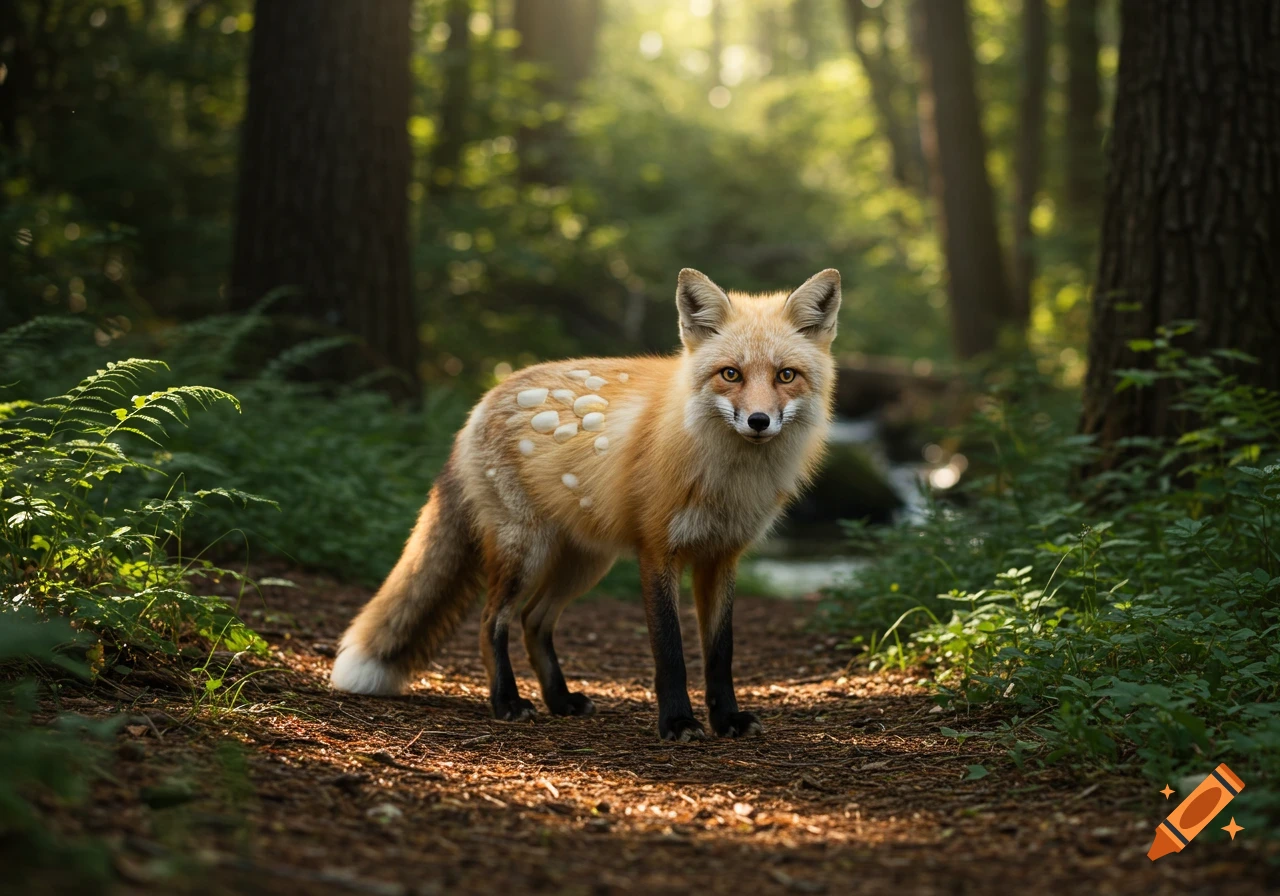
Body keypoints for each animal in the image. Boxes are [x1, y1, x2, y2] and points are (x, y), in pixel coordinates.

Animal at [330, 267, 841, 741]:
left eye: (786, 375)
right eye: (730, 374)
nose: (758, 421)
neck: (728, 478)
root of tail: (483, 401)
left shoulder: (721, 556)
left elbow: (720, 652)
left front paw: (726, 719)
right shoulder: (658, 552)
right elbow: (670, 652)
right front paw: (677, 722)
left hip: (584, 563)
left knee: (534, 622)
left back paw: (560, 700)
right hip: (525, 553)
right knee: (491, 622)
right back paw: (507, 702)